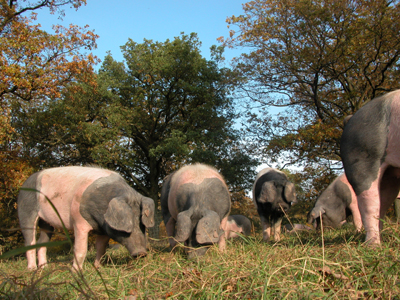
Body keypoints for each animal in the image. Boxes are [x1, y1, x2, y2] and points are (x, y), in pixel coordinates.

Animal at [17, 165, 155, 270]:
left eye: (142, 225)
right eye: (128, 225)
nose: (141, 253)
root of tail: (24, 184)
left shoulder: (103, 229)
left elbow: (101, 248)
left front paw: (98, 267)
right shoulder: (79, 222)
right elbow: (81, 249)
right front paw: (76, 271)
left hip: (46, 222)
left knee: (42, 242)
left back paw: (44, 268)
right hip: (26, 210)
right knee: (29, 240)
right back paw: (32, 269)